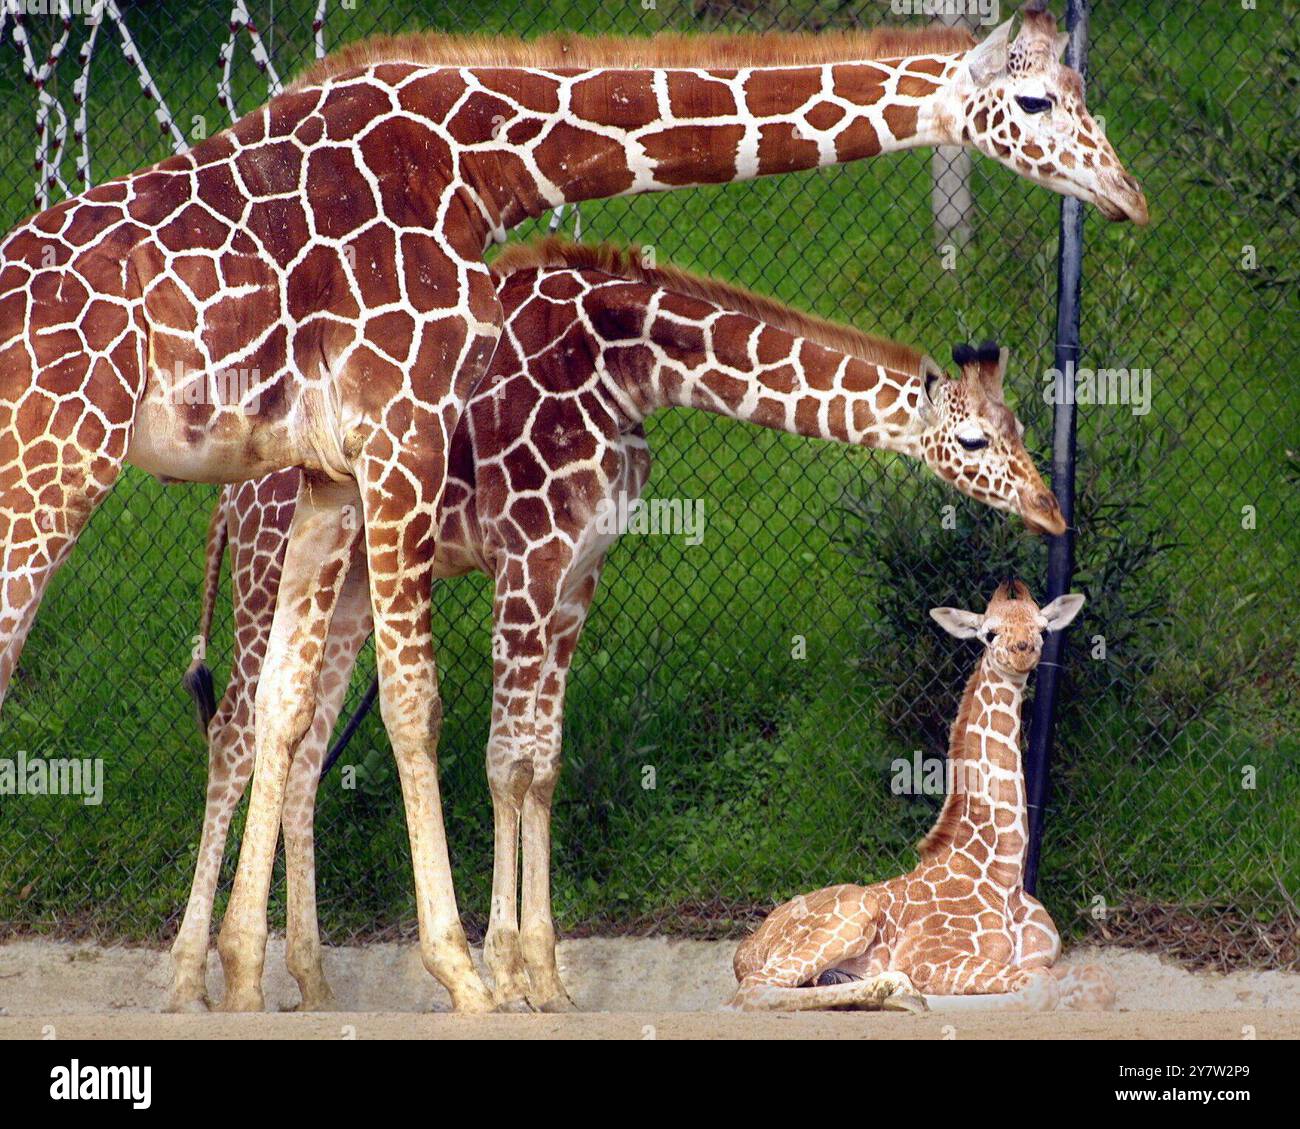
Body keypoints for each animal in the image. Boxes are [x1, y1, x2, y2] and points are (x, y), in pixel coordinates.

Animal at [167, 239, 1067, 1013]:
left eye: (1023, 427)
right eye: (974, 438)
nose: (1050, 512)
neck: (627, 368)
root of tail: (228, 495)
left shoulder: (578, 576)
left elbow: (543, 764)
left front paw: (546, 979)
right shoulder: (528, 558)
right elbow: (505, 762)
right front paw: (507, 976)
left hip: (352, 577)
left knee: (307, 743)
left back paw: (310, 983)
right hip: (266, 567)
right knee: (236, 735)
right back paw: (192, 980)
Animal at [730, 580, 1115, 1013]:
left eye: (1043, 630)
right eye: (989, 632)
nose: (1023, 650)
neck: (1003, 873)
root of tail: (745, 950)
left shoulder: (1044, 957)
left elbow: (1097, 981)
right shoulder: (929, 957)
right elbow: (1038, 990)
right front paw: (916, 997)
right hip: (853, 912)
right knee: (753, 991)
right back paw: (892, 992)